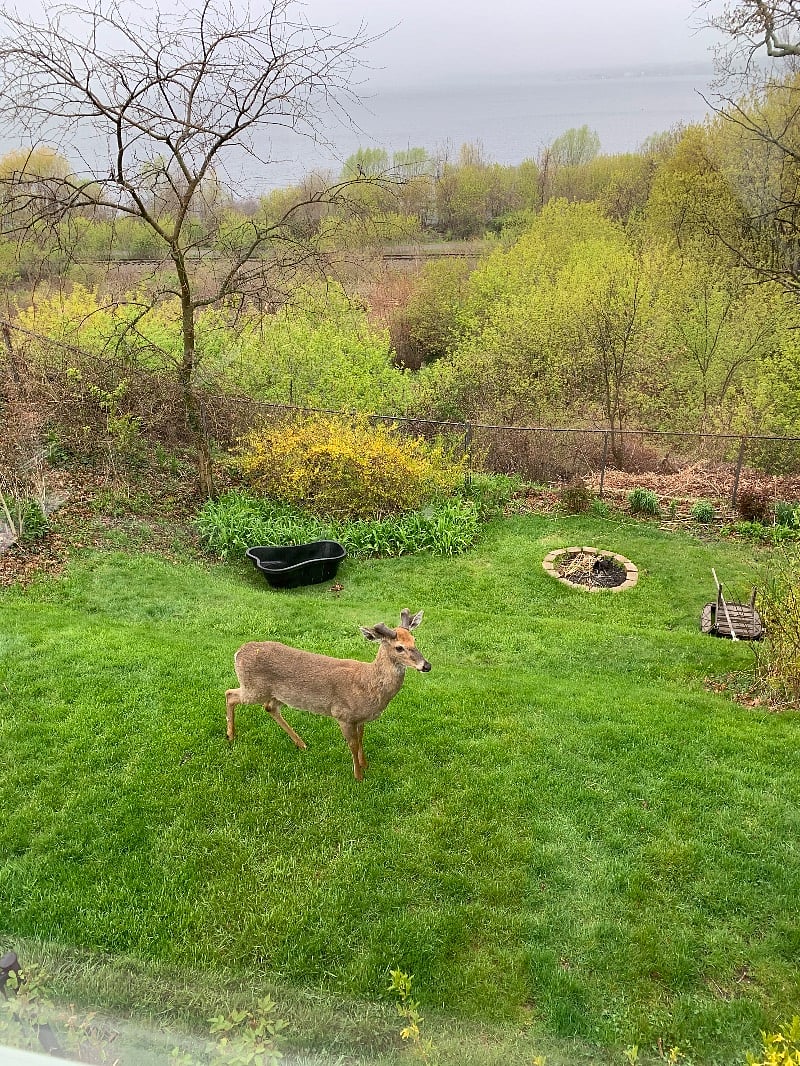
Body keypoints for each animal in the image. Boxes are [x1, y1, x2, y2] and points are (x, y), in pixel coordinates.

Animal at [225, 609, 431, 781]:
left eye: (414, 640)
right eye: (399, 647)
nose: (426, 665)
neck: (368, 684)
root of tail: (238, 652)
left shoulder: (360, 719)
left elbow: (361, 739)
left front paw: (365, 764)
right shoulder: (343, 714)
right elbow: (353, 744)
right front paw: (358, 776)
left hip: (277, 694)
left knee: (269, 707)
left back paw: (301, 744)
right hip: (254, 688)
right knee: (230, 694)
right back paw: (231, 735)